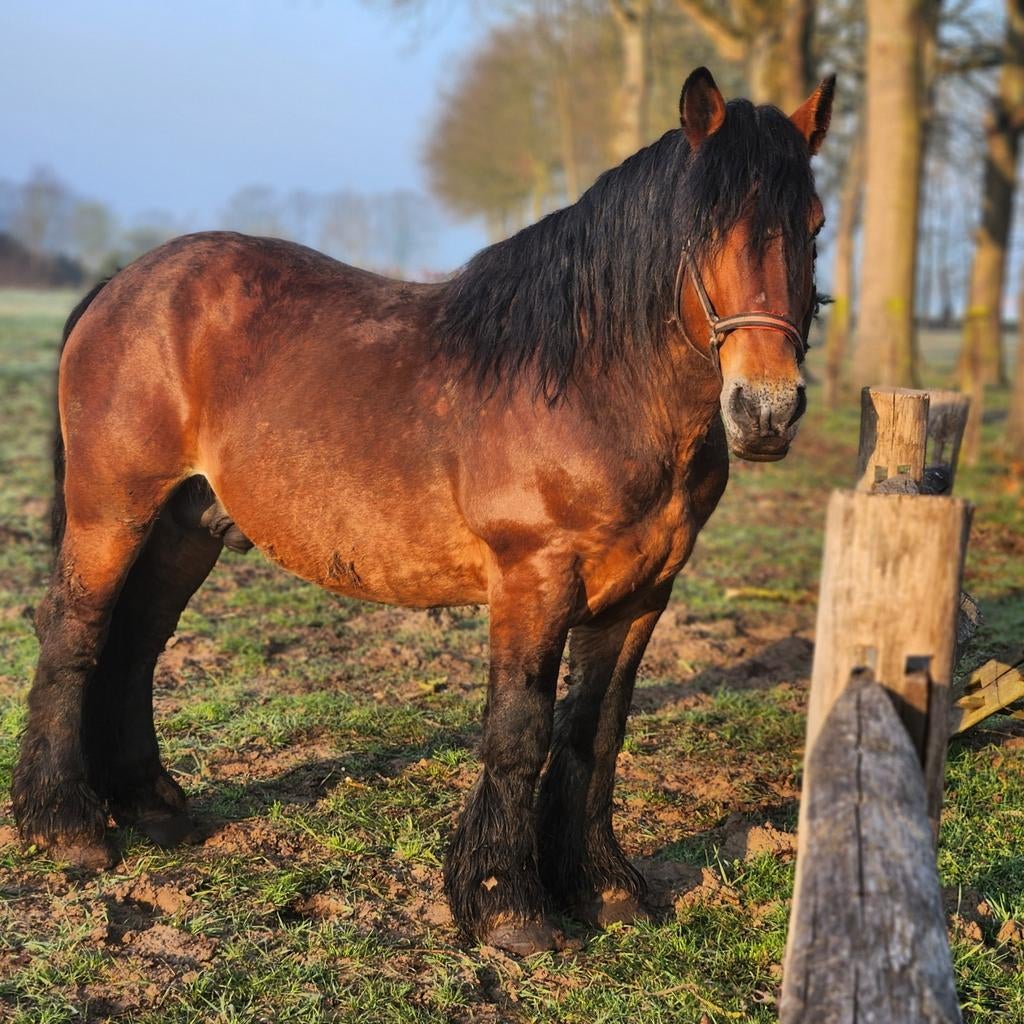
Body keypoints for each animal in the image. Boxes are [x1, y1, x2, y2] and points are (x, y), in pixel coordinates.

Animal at [12, 67, 833, 955]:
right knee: (75, 636)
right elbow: (519, 733)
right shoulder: (534, 581)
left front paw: (605, 890)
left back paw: (154, 808)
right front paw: (509, 906)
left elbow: (595, 734)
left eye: (815, 225)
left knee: (135, 648)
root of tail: (124, 284)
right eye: (705, 228)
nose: (766, 410)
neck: (593, 383)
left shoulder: (644, 593)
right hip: (111, 514)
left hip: (183, 530)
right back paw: (66, 828)